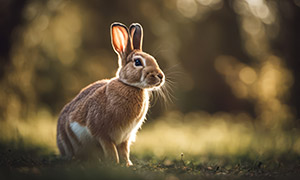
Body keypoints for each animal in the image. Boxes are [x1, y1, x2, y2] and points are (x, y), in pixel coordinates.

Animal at [56, 22, 164, 166]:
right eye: (137, 62)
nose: (160, 76)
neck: (131, 86)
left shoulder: (125, 137)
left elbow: (124, 150)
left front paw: (127, 164)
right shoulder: (102, 133)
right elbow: (110, 148)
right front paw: (114, 163)